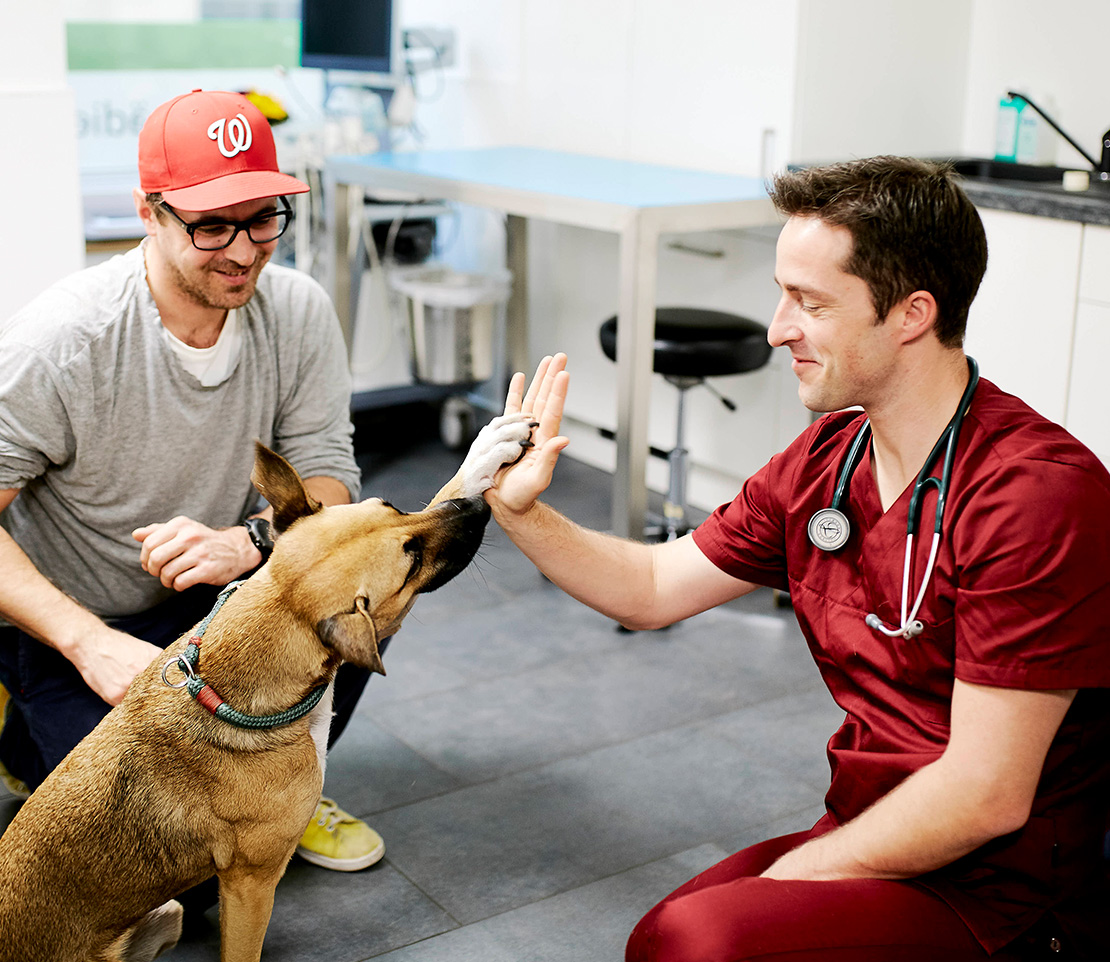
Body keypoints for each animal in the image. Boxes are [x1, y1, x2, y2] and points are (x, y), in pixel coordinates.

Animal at [0, 417, 537, 962]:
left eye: (392, 506)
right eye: (411, 562)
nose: (479, 510)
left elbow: (446, 490)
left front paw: (488, 452)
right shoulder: (249, 884)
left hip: (165, 914)